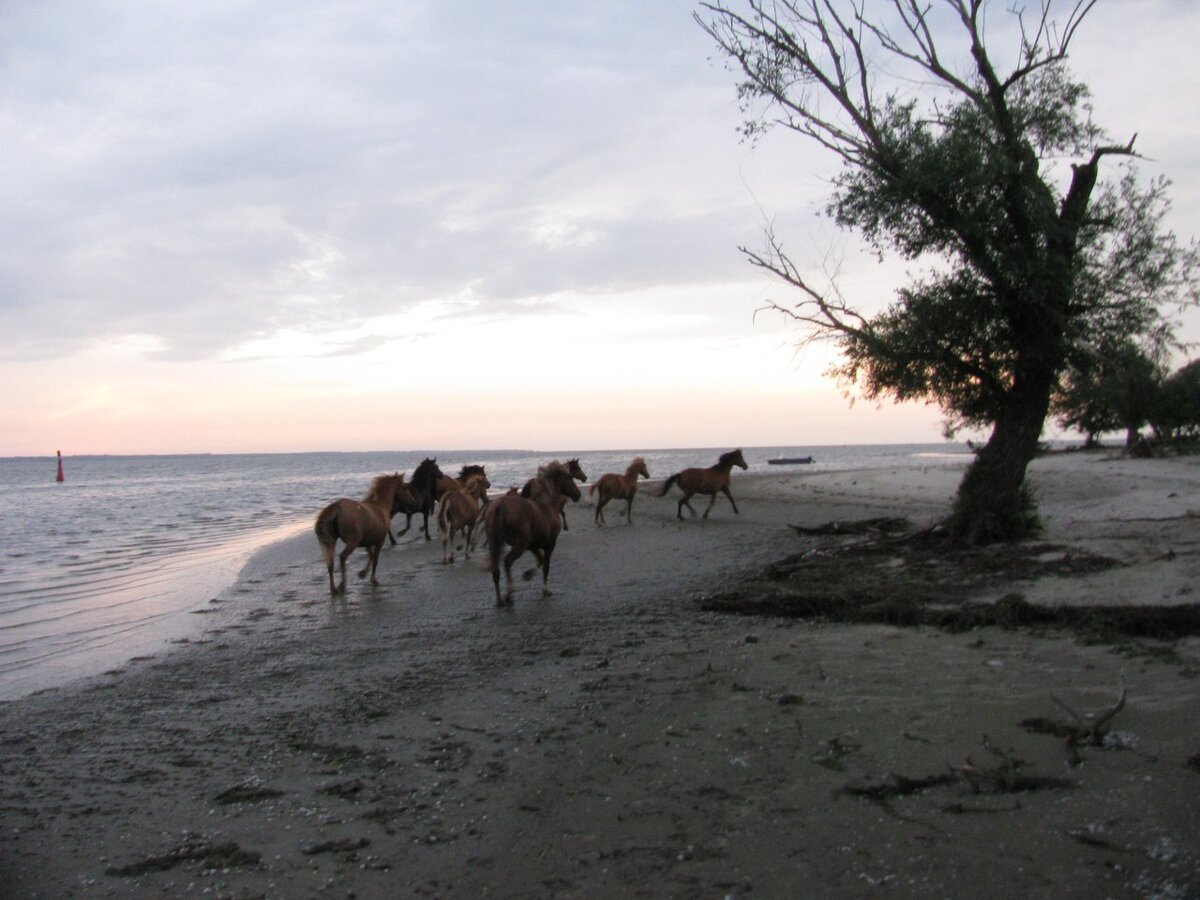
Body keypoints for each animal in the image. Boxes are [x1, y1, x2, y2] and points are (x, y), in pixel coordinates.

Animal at [487, 465, 580, 607]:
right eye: (570, 477)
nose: (577, 494)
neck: (547, 505)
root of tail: (500, 505)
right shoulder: (550, 544)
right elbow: (546, 566)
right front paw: (545, 590)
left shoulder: (532, 546)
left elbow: (540, 560)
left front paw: (528, 575)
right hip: (519, 545)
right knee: (507, 562)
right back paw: (509, 593)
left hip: (495, 544)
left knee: (495, 571)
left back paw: (499, 600)